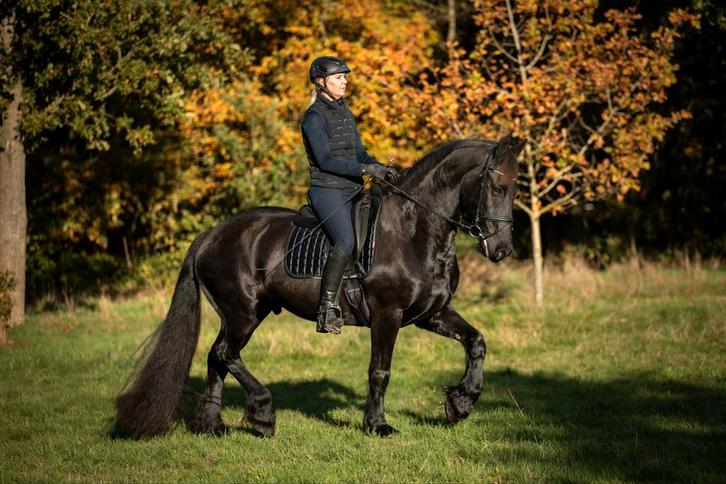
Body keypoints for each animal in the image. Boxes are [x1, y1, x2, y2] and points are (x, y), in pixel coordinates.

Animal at [115, 135, 523, 438]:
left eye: (515, 188)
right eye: (497, 185)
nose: (501, 249)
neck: (413, 229)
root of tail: (211, 235)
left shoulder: (431, 313)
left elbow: (476, 342)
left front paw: (461, 402)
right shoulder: (387, 314)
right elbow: (380, 370)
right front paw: (378, 425)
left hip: (244, 313)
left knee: (217, 357)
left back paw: (212, 425)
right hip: (242, 312)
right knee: (226, 354)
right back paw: (263, 414)